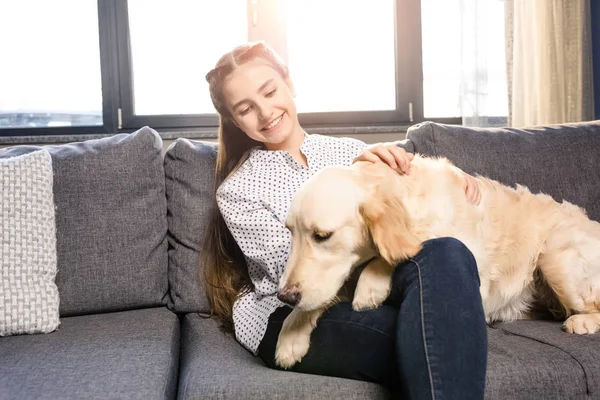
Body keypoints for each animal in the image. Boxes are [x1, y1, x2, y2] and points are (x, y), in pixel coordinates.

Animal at [274, 154, 600, 368]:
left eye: (322, 235)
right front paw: (291, 334)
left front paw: (371, 285)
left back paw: (580, 322)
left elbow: (404, 250)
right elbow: (317, 298)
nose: (285, 296)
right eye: (290, 232)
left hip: (554, 256)